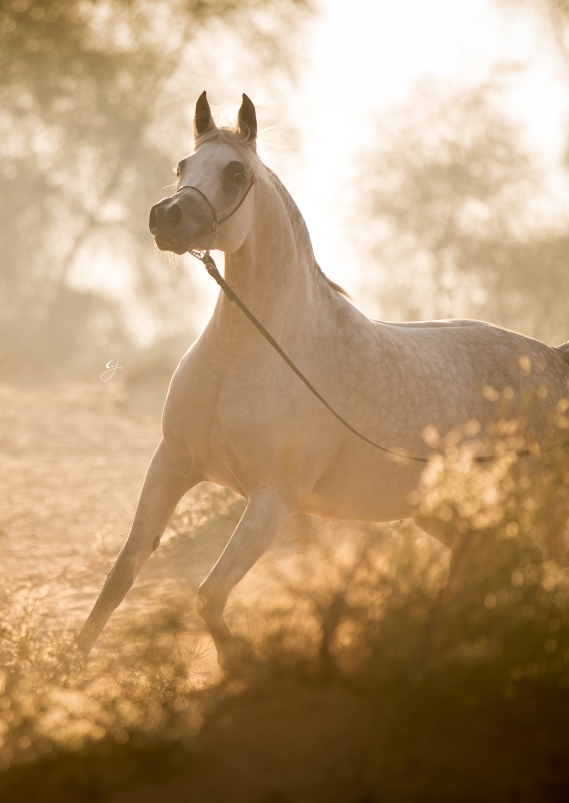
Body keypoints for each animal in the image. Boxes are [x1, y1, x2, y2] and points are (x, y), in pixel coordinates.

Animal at [79, 94, 568, 668]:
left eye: (235, 171)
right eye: (182, 166)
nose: (166, 217)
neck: (246, 355)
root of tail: (554, 360)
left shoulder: (273, 499)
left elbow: (209, 595)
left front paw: (238, 668)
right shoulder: (172, 465)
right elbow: (119, 580)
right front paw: (65, 671)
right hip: (449, 513)